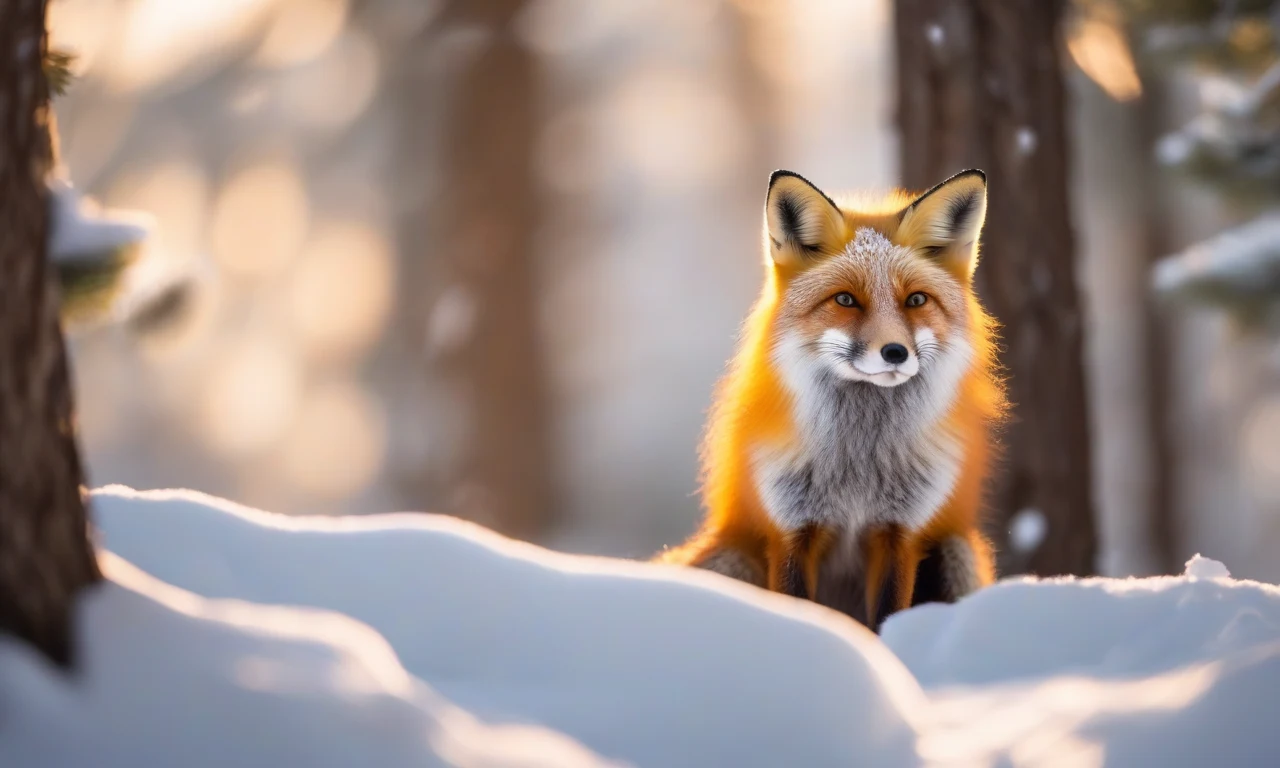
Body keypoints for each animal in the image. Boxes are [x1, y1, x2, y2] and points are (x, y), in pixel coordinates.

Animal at [658, 168, 1007, 631]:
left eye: (916, 300)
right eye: (845, 300)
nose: (895, 352)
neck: (857, 468)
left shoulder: (899, 532)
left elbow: (886, 617)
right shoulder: (792, 529)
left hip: (957, 551)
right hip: (731, 556)